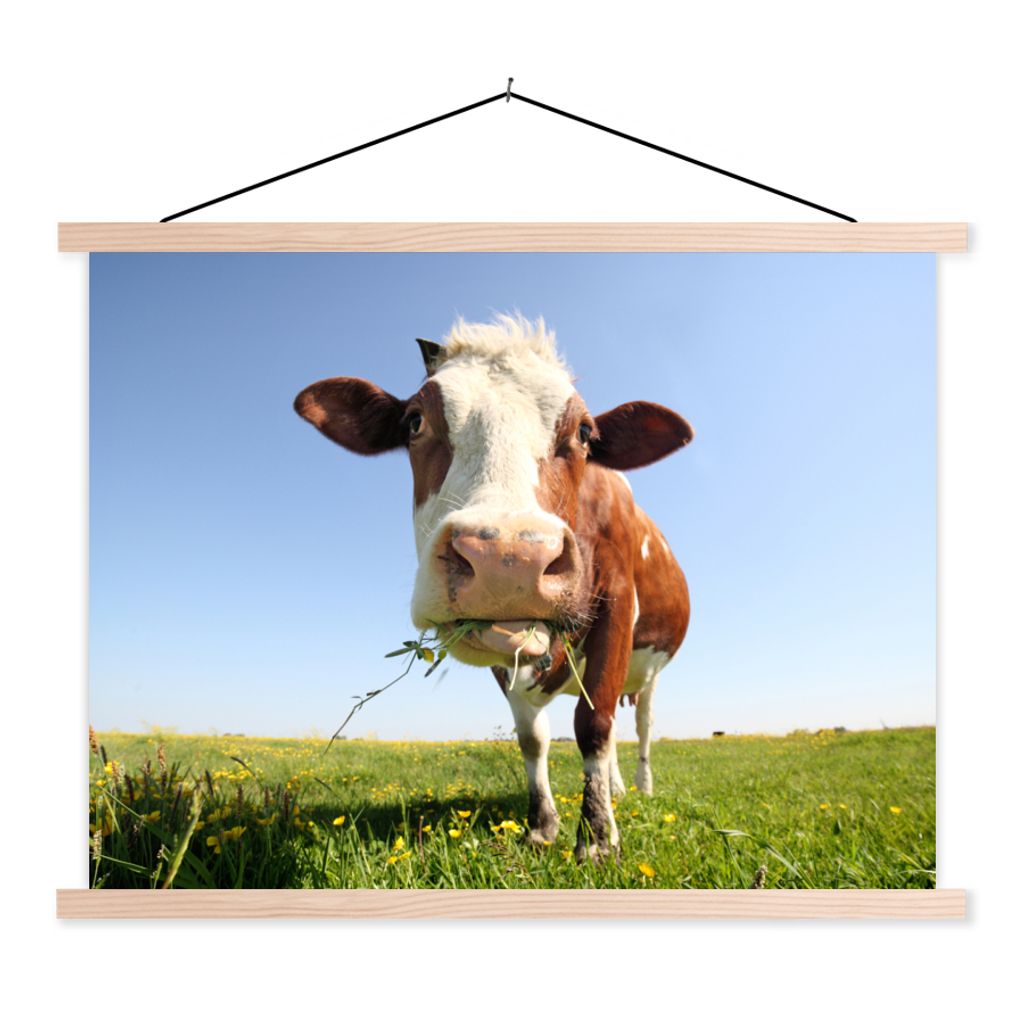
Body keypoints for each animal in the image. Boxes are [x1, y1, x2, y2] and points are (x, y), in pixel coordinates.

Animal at [294, 315, 692, 860]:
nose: (508, 558)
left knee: (639, 725)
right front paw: (543, 825)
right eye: (414, 421)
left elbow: (594, 726)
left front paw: (596, 838)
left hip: (650, 671)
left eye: (585, 432)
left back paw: (639, 788)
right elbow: (533, 737)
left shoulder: (616, 604)